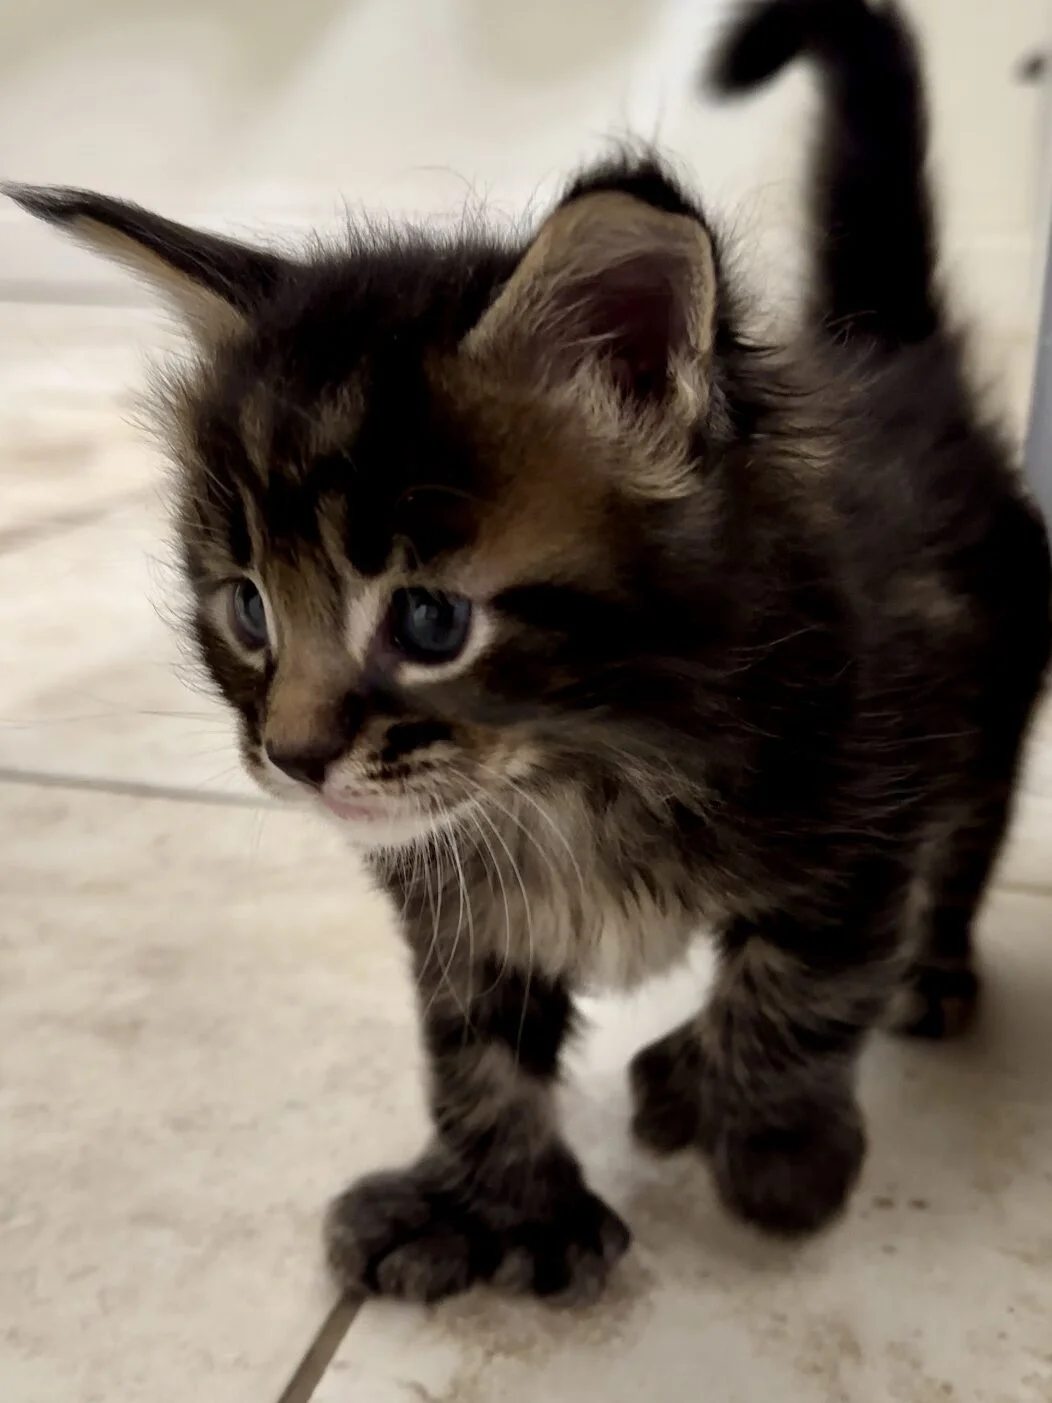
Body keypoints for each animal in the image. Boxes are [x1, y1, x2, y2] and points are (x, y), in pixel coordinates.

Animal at [10, 0, 1052, 1307]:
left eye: (429, 623)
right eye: (246, 609)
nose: (290, 756)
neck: (577, 774)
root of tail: (892, 355)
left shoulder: (864, 798)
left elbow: (802, 981)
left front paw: (774, 1147)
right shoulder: (454, 896)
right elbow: (475, 1049)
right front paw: (496, 1203)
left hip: (987, 705)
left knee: (958, 855)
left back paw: (908, 986)